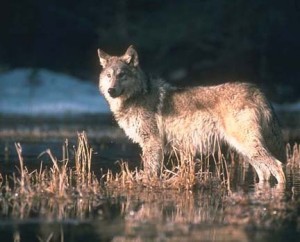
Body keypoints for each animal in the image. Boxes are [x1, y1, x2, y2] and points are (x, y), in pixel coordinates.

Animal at [98, 45, 286, 183]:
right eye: (109, 75)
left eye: (122, 75)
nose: (111, 90)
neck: (136, 96)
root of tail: (256, 90)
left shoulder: (153, 143)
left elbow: (150, 171)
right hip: (245, 151)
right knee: (265, 173)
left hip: (248, 146)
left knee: (278, 167)